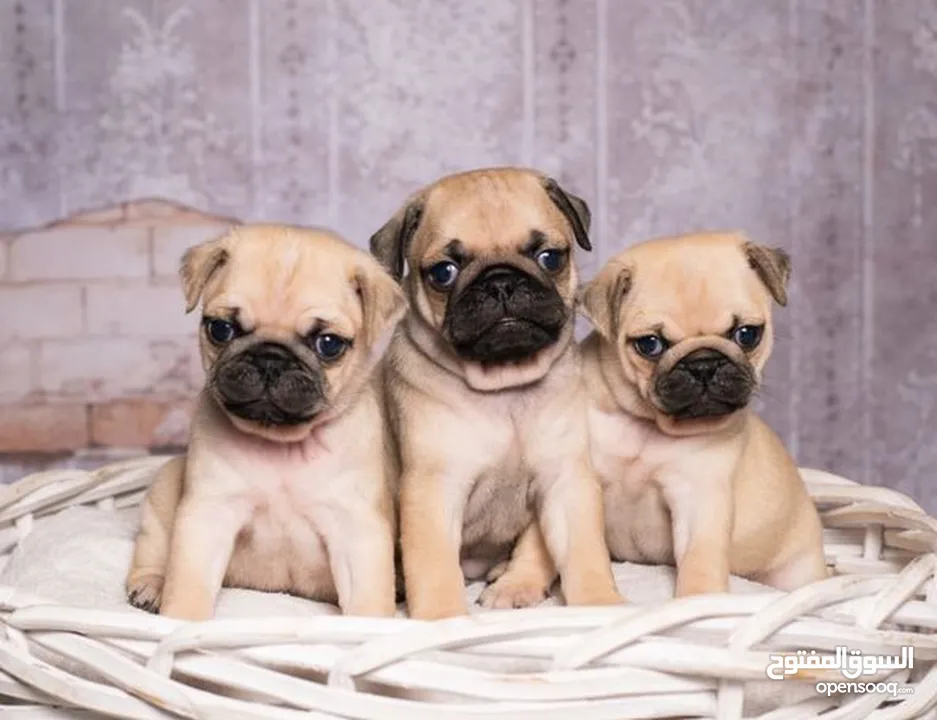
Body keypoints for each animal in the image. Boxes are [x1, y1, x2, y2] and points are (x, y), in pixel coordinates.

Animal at [124, 224, 406, 620]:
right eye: (221, 329)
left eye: (329, 344)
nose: (270, 359)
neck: (282, 446)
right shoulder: (208, 516)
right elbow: (188, 582)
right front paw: (182, 621)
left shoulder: (356, 531)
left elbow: (367, 598)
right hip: (163, 493)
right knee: (152, 548)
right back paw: (151, 585)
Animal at [372, 167, 620, 620]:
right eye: (444, 272)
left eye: (549, 257)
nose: (501, 281)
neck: (505, 388)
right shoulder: (433, 488)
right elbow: (432, 564)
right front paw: (442, 617)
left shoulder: (565, 480)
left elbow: (581, 551)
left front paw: (598, 603)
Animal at [572, 233, 828, 592]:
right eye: (649, 344)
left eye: (747, 334)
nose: (703, 363)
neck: (648, 425)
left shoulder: (699, 498)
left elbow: (699, 562)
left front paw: (698, 599)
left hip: (798, 572)